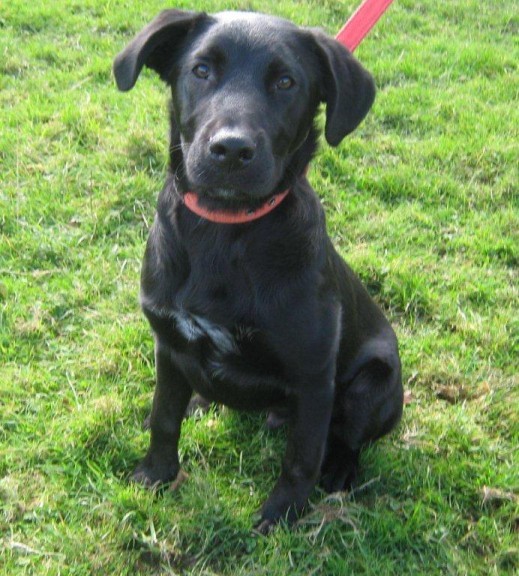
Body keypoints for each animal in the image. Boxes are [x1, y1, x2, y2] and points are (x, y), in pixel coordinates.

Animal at [115, 9, 406, 532]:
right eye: (201, 71)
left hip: (375, 383)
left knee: (348, 436)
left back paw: (341, 470)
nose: (231, 150)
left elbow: (302, 457)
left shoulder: (314, 377)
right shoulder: (168, 341)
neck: (225, 229)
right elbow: (165, 418)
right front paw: (155, 476)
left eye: (286, 82)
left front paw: (281, 517)